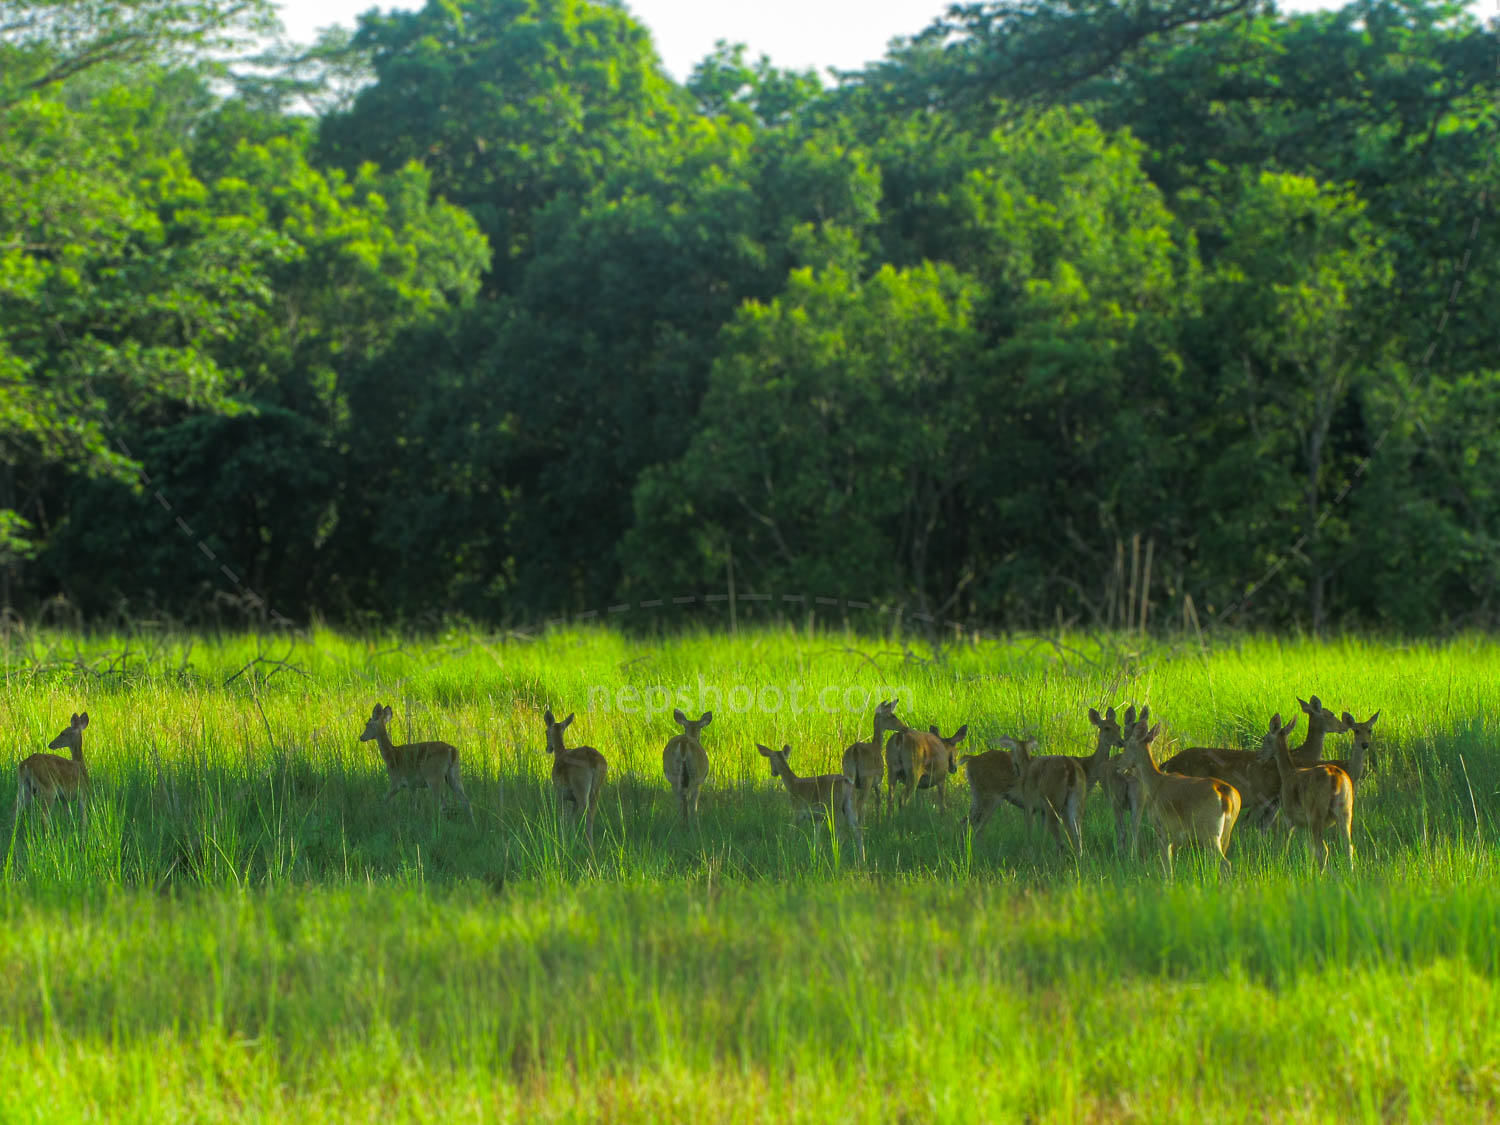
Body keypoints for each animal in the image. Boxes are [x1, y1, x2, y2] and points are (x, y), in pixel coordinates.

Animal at [543, 710, 608, 845]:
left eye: (546, 731)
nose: (548, 748)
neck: (560, 752)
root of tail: (592, 759)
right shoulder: (573, 799)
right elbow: (571, 818)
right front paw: (572, 838)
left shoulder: (560, 792)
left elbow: (562, 816)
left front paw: (563, 839)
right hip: (597, 788)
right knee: (592, 814)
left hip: (580, 785)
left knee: (586, 812)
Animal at [1118, 707, 1241, 874]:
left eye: (1128, 745)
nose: (1118, 766)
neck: (1155, 784)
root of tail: (1225, 794)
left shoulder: (1162, 830)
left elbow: (1166, 867)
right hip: (1226, 832)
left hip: (1209, 831)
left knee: (1225, 863)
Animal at [1256, 712, 1354, 872]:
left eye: (1266, 738)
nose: (1258, 756)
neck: (1287, 773)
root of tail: (1335, 779)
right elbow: (1309, 849)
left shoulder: (1289, 815)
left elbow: (1286, 842)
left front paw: (1282, 863)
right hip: (1345, 810)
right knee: (1348, 846)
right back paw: (1350, 872)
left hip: (1316, 813)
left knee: (1323, 849)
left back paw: (1321, 875)